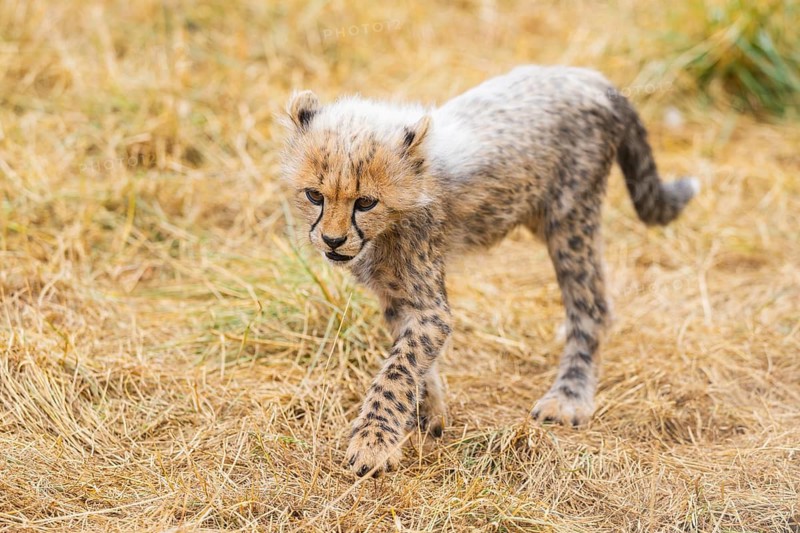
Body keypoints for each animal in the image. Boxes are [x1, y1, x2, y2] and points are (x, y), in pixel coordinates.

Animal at [281, 65, 699, 478]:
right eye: (315, 195)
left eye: (365, 202)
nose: (333, 241)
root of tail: (587, 75)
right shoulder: (398, 298)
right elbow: (414, 356)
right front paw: (428, 409)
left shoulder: (429, 305)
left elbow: (398, 371)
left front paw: (374, 442)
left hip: (570, 218)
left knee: (592, 304)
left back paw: (569, 395)